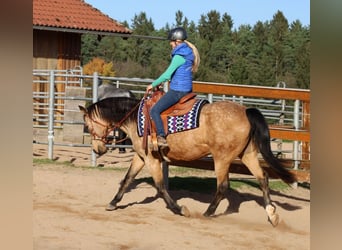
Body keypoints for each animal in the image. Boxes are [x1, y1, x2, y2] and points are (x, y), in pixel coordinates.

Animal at [79, 91, 296, 227]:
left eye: (88, 126)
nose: (97, 149)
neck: (136, 119)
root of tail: (245, 111)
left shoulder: (151, 159)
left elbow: (160, 186)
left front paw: (180, 209)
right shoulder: (141, 157)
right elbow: (127, 179)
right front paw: (113, 203)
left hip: (222, 158)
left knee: (223, 186)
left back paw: (207, 213)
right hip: (248, 155)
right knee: (263, 178)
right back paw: (272, 215)